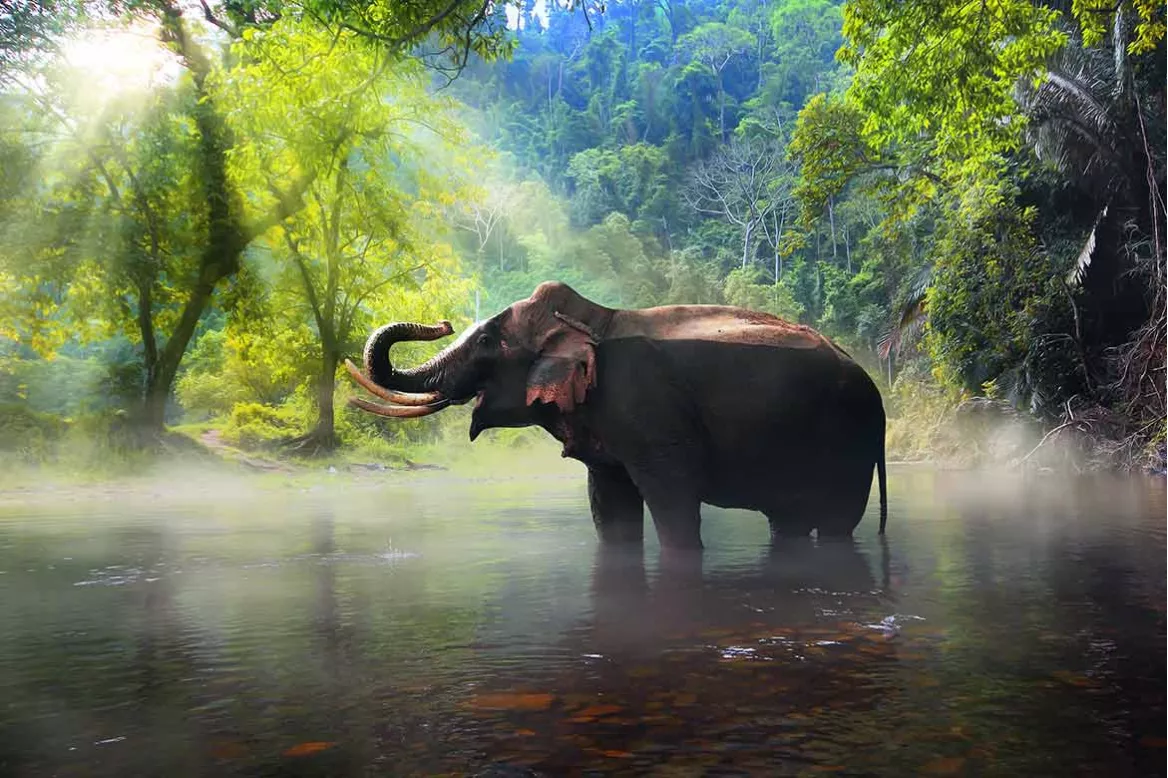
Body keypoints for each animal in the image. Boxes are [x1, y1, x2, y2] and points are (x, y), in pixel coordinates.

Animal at [344, 281, 887, 550]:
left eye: (485, 342)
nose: (441, 322)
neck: (592, 319)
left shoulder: (652, 415)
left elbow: (673, 503)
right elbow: (609, 506)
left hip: (850, 441)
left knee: (837, 524)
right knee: (788, 522)